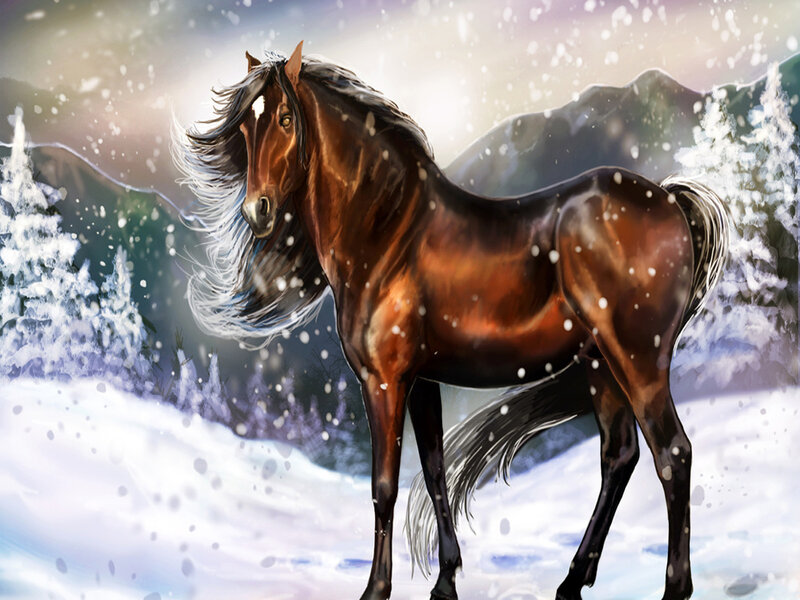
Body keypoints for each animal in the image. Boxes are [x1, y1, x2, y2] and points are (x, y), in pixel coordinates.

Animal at [174, 41, 729, 600]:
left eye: (286, 119)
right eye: (246, 130)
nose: (258, 211)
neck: (388, 234)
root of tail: (668, 198)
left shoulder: (385, 382)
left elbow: (384, 486)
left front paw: (376, 589)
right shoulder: (422, 381)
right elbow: (434, 471)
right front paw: (445, 580)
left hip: (637, 361)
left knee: (673, 455)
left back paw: (673, 587)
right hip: (600, 365)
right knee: (618, 456)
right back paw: (571, 581)